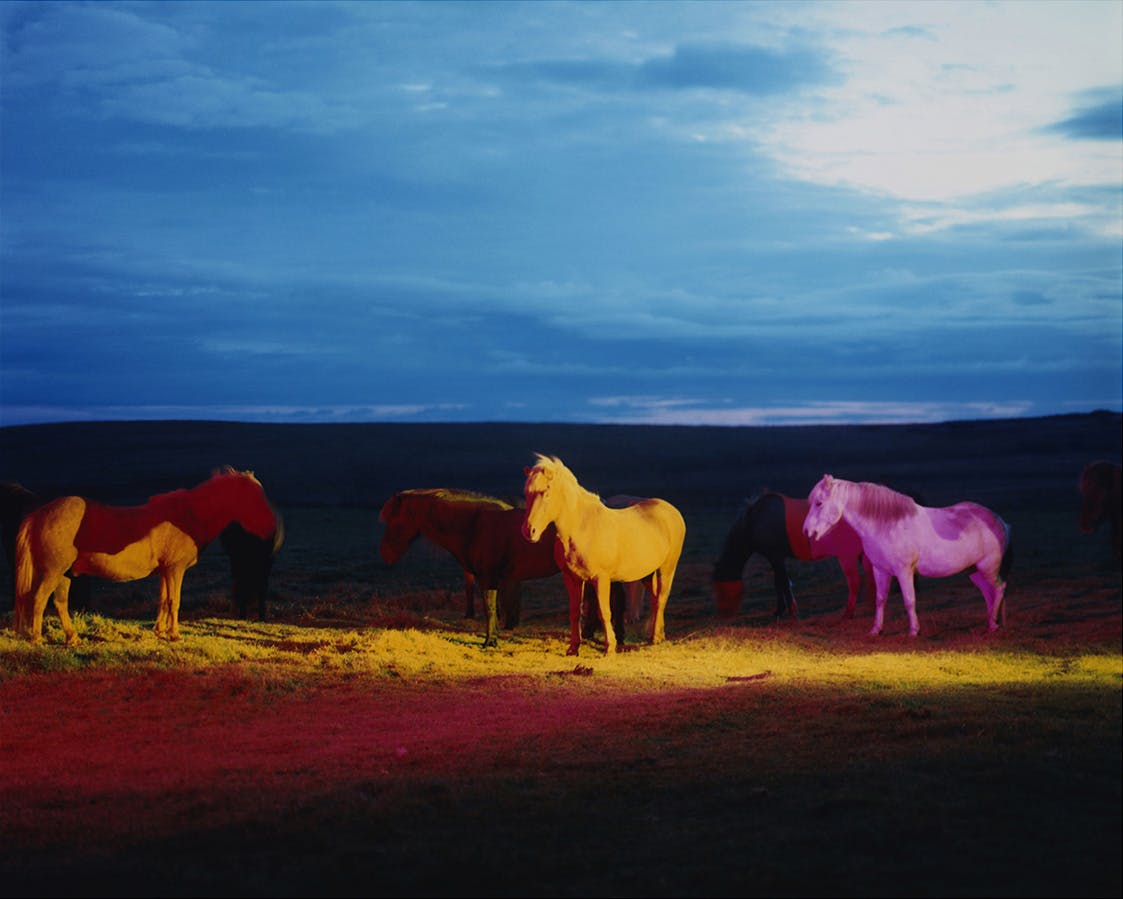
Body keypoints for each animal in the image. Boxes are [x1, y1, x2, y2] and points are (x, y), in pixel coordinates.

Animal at [14, 468, 278, 645]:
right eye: (252, 496)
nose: (270, 528)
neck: (189, 515)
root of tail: (40, 513)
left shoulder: (164, 571)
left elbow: (162, 600)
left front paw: (159, 631)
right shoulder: (175, 569)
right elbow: (174, 601)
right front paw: (174, 634)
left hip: (65, 573)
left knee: (59, 603)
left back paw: (72, 638)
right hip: (52, 572)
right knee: (38, 600)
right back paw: (36, 639)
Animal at [378, 488, 560, 648]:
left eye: (394, 520)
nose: (385, 554)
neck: (474, 524)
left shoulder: (488, 578)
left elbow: (490, 609)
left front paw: (489, 641)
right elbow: (493, 608)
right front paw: (494, 637)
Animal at [522, 454, 686, 657]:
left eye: (546, 492)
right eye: (527, 493)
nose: (529, 531)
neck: (581, 527)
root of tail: (671, 511)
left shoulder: (601, 579)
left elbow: (604, 612)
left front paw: (610, 647)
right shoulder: (572, 578)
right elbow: (575, 612)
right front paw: (573, 648)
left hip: (667, 569)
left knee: (661, 598)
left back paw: (655, 638)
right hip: (647, 574)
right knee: (656, 600)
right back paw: (659, 635)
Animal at [712, 490, 873, 620]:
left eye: (721, 590)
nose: (724, 615)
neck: (754, 520)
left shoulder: (775, 557)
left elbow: (783, 582)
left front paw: (791, 611)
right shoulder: (775, 559)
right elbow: (779, 583)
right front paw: (780, 610)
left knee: (857, 581)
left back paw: (849, 613)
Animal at [803, 474, 1012, 637]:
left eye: (819, 503)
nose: (807, 531)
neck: (887, 525)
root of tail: (998, 521)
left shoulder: (904, 572)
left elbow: (909, 600)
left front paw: (913, 631)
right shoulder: (880, 570)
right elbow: (880, 599)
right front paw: (876, 630)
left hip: (987, 568)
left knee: (999, 588)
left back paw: (992, 624)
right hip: (974, 571)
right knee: (989, 593)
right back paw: (991, 623)